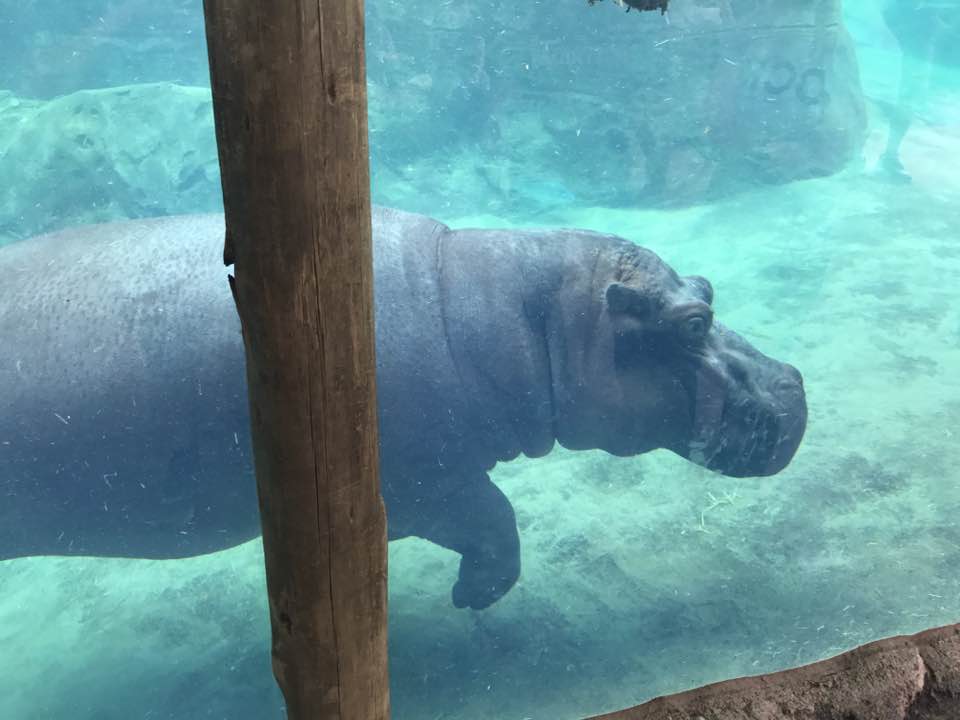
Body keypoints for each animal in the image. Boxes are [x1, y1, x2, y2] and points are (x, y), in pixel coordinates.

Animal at [0, 207, 806, 609]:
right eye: (694, 323)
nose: (795, 385)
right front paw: (473, 598)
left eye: (707, 287)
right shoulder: (426, 483)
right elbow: (496, 520)